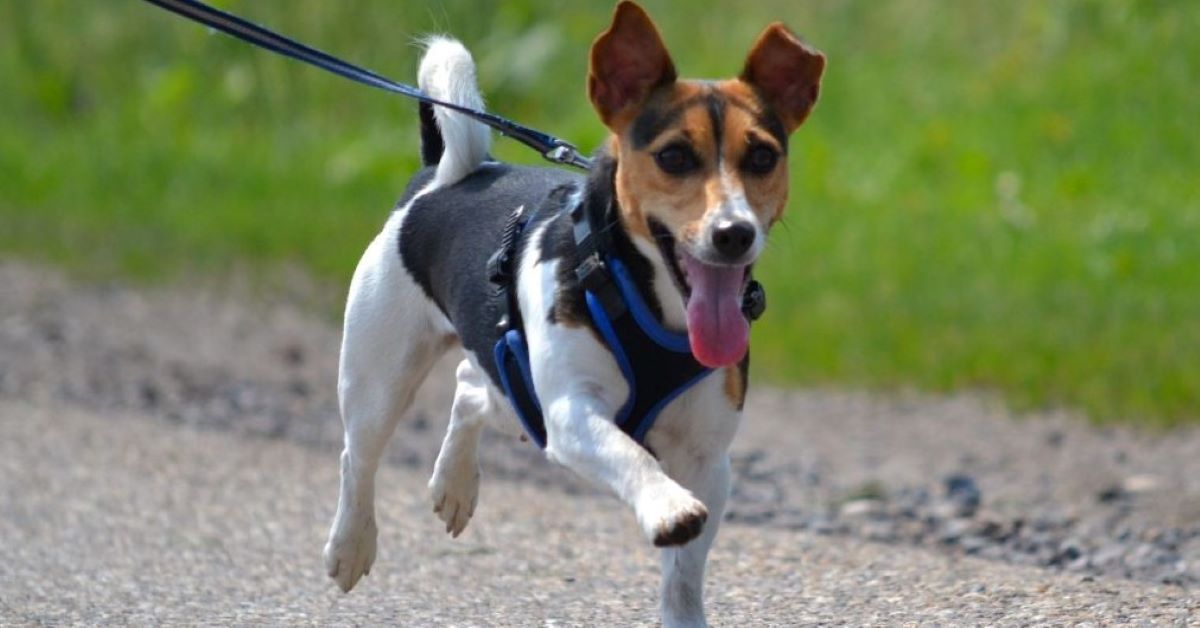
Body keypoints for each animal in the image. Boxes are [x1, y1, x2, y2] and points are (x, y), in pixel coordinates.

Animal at [324, 3, 820, 624]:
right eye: (674, 156)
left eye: (762, 156)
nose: (735, 233)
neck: (644, 296)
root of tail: (441, 175)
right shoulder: (570, 412)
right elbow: (633, 456)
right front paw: (666, 505)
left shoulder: (708, 455)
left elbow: (683, 581)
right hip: (381, 374)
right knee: (357, 458)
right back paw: (350, 544)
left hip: (513, 386)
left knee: (469, 385)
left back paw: (454, 485)